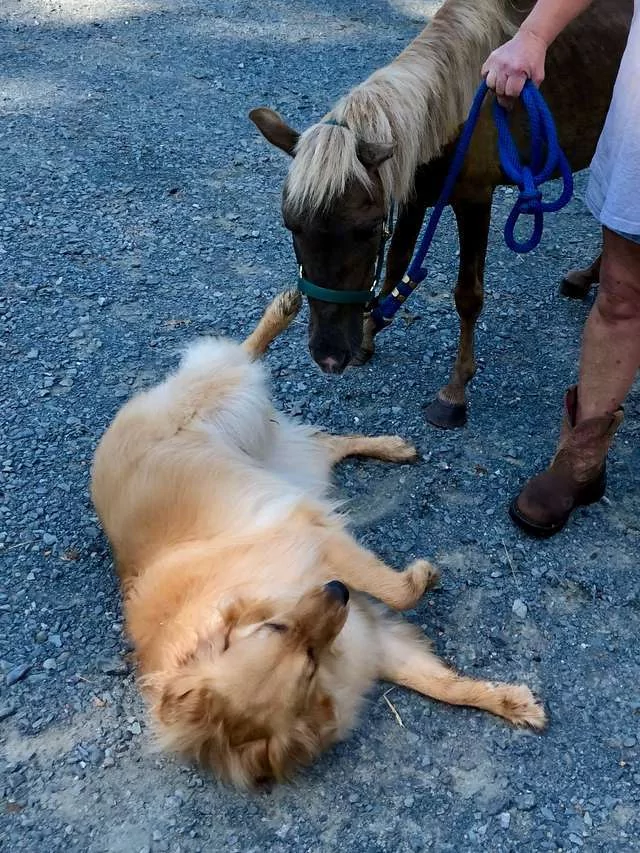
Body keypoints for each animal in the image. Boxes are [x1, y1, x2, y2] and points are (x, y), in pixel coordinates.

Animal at [249, 0, 632, 428]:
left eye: (366, 230)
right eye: (292, 225)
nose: (329, 356)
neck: (456, 111)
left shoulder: (473, 201)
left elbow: (467, 296)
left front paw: (454, 391)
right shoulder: (413, 195)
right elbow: (396, 268)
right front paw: (369, 334)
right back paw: (586, 277)